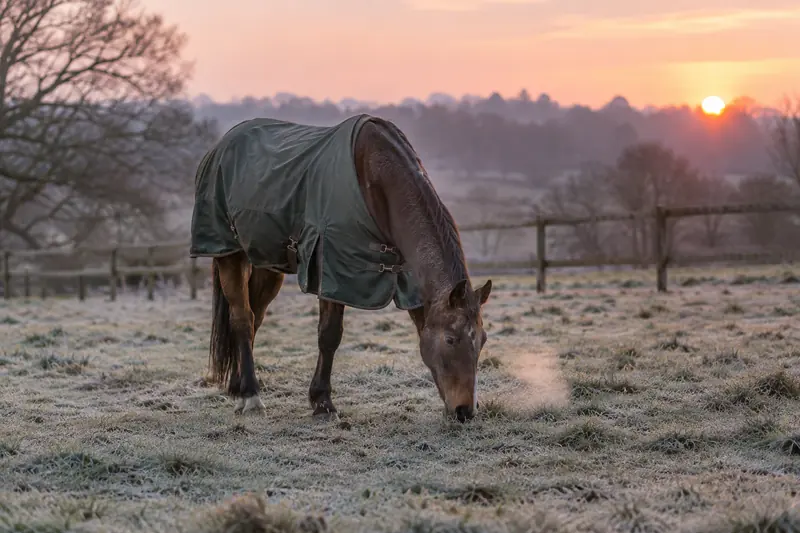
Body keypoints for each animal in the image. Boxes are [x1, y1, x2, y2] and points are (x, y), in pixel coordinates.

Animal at [189, 113, 492, 423]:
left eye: (481, 340)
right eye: (451, 339)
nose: (465, 411)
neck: (375, 176)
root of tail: (221, 145)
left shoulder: (409, 281)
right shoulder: (332, 270)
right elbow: (329, 335)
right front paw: (322, 402)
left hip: (267, 265)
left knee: (254, 318)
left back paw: (237, 386)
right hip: (230, 255)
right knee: (241, 319)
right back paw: (250, 395)